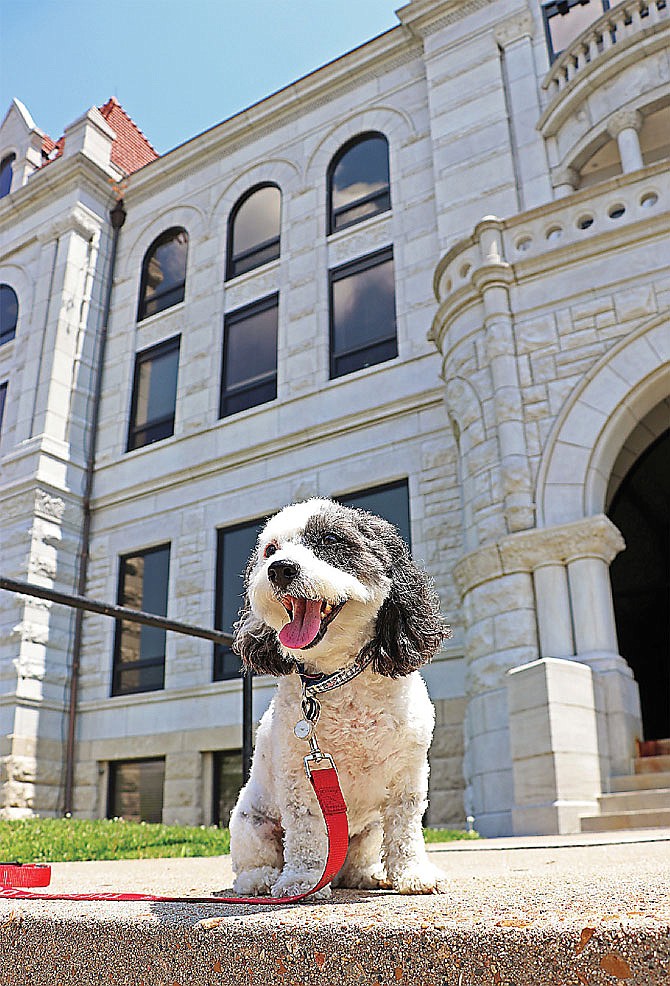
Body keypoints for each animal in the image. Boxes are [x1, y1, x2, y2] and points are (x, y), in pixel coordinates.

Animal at [230, 496, 452, 896]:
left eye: (332, 540)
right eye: (271, 550)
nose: (279, 569)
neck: (336, 677)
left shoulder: (408, 774)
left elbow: (406, 829)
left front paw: (414, 874)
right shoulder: (299, 776)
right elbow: (305, 832)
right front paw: (301, 880)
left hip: (368, 830)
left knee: (362, 854)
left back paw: (366, 874)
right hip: (250, 822)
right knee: (253, 861)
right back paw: (262, 879)